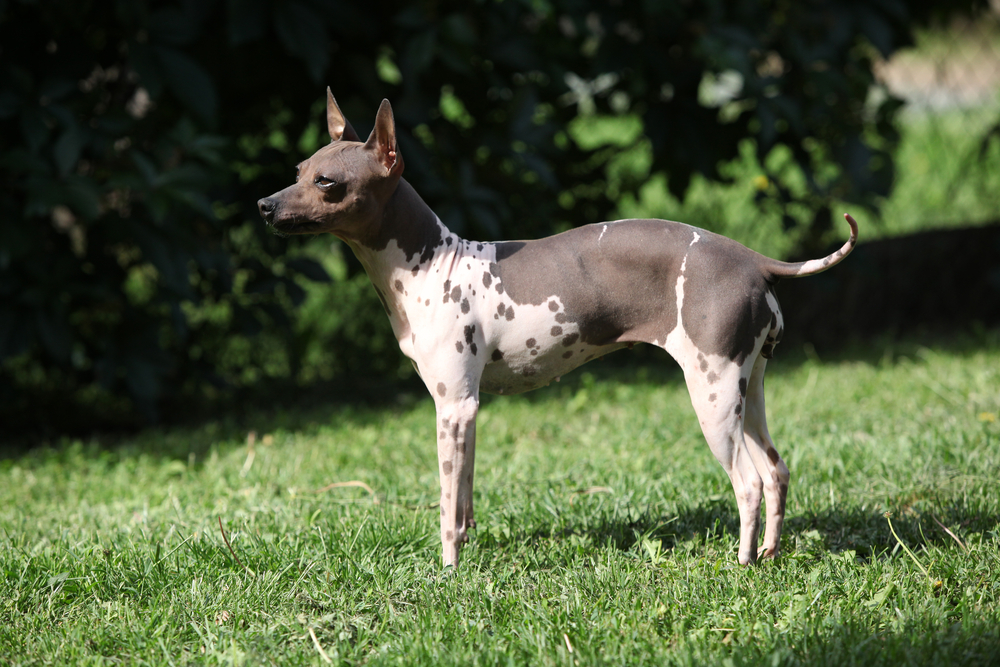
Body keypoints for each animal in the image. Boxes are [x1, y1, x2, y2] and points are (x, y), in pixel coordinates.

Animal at [254, 90, 856, 568]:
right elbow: (465, 499)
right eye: (298, 168)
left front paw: (447, 573)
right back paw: (772, 553)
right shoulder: (467, 412)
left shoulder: (452, 407)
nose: (263, 205)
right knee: (776, 471)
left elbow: (447, 506)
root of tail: (751, 259)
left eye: (327, 182)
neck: (431, 263)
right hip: (747, 390)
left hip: (711, 393)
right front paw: (466, 554)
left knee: (749, 483)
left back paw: (744, 563)